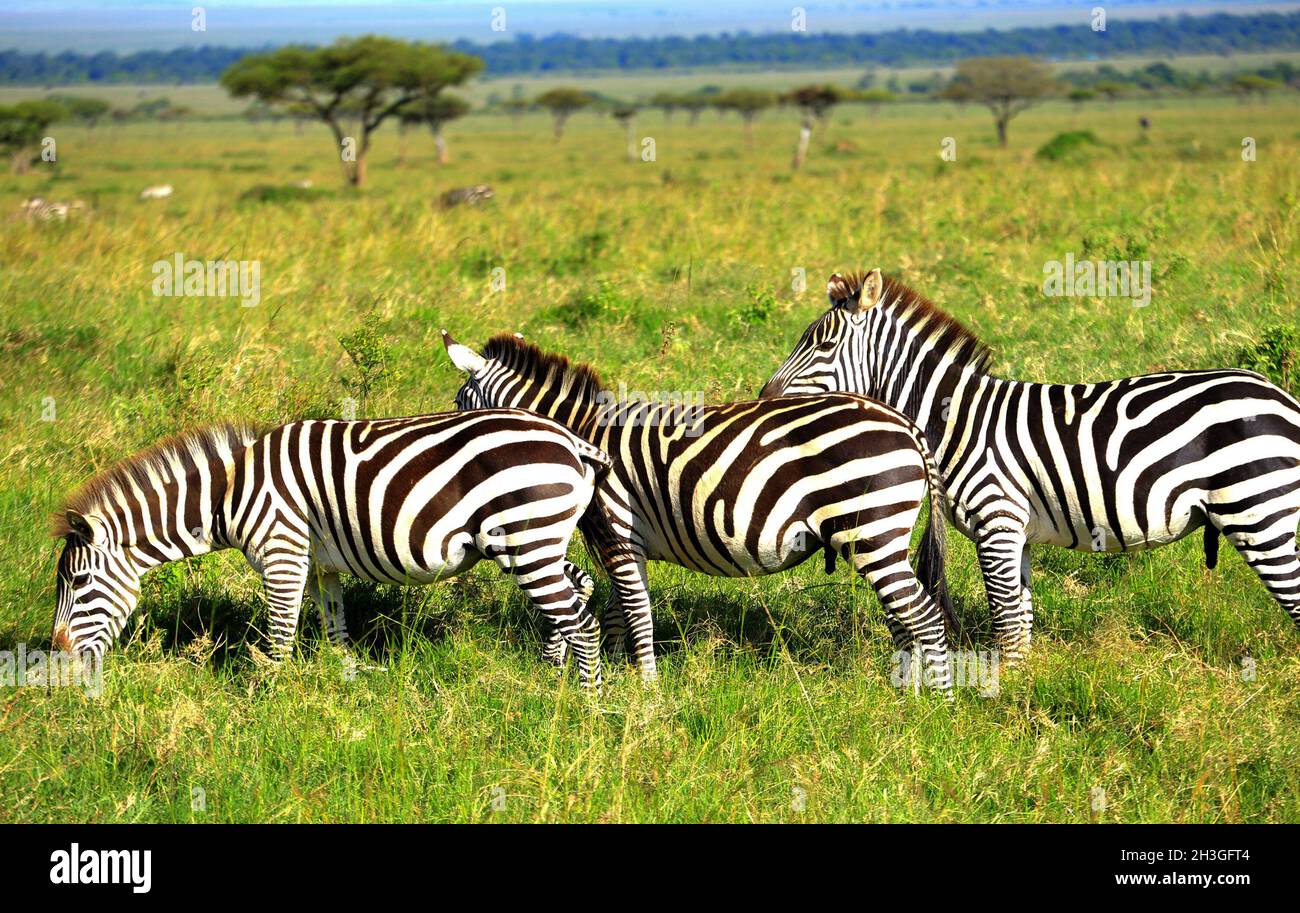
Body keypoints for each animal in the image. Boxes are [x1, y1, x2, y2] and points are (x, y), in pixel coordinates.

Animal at [53, 413, 611, 686]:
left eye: (77, 583)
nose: (57, 653)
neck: (227, 494)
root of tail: (571, 440)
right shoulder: (322, 567)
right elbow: (336, 633)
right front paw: (342, 689)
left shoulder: (282, 553)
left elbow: (279, 640)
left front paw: (270, 708)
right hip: (537, 540)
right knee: (579, 593)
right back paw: (552, 679)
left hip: (526, 537)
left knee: (581, 622)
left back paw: (586, 706)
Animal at [441, 330, 961, 691]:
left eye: (459, 404)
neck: (580, 434)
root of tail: (906, 424)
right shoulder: (627, 544)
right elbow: (618, 612)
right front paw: (622, 676)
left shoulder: (617, 531)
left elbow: (636, 612)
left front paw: (646, 689)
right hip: (881, 537)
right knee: (906, 619)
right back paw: (905, 695)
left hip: (872, 531)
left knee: (925, 618)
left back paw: (939, 703)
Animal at [759, 267, 1300, 660]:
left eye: (822, 345)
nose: (764, 398)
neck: (956, 419)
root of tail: (1279, 394)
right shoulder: (1015, 532)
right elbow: (1019, 621)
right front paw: (1024, 689)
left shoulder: (996, 520)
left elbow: (1004, 622)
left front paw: (1005, 703)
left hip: (1258, 513)